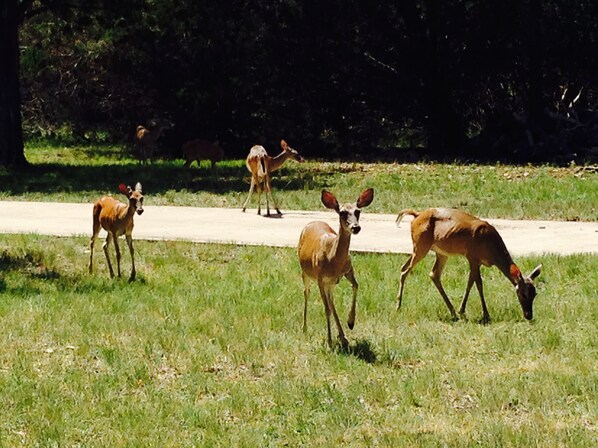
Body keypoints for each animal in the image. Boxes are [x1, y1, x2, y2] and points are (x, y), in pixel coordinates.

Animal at [300, 187, 376, 348]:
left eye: (358, 211)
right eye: (342, 213)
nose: (356, 227)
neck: (333, 259)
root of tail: (312, 222)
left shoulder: (347, 270)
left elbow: (356, 286)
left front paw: (351, 322)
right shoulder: (320, 278)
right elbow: (326, 309)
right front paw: (329, 341)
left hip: (330, 283)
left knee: (331, 300)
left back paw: (343, 337)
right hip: (306, 273)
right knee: (307, 293)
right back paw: (305, 328)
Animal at [396, 208, 548, 324]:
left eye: (535, 293)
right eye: (523, 294)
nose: (529, 315)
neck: (491, 248)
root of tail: (416, 215)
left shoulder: (477, 261)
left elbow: (471, 282)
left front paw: (461, 311)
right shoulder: (472, 256)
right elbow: (478, 283)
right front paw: (485, 314)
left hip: (439, 252)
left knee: (432, 274)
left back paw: (452, 312)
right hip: (421, 245)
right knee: (405, 271)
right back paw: (398, 306)